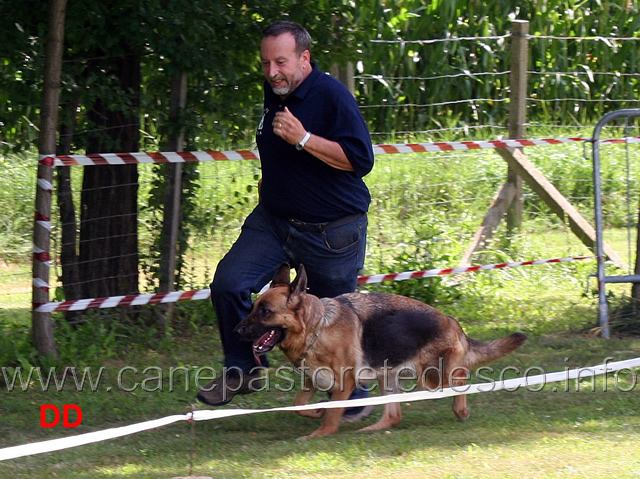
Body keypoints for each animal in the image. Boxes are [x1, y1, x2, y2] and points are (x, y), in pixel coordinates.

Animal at [235, 264, 524, 440]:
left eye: (265, 312)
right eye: (253, 308)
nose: (237, 330)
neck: (318, 326)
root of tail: (452, 322)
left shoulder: (344, 383)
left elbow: (332, 415)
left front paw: (318, 434)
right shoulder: (313, 379)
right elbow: (299, 406)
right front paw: (316, 412)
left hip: (431, 378)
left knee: (460, 378)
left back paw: (461, 410)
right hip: (389, 377)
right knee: (394, 415)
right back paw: (371, 429)